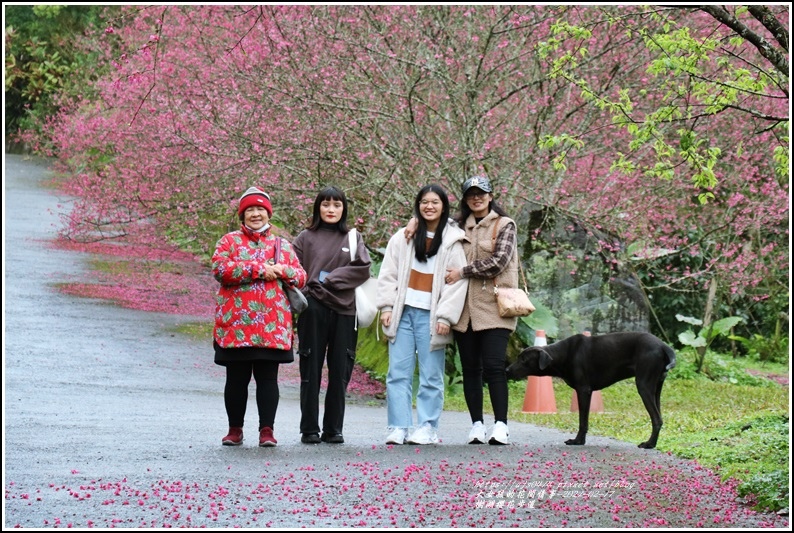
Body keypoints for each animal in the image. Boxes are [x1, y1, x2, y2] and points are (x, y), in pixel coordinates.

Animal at [508, 332, 676, 448]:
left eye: (523, 360)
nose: (506, 370)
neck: (563, 354)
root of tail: (663, 346)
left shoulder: (583, 390)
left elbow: (583, 421)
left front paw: (578, 440)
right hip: (656, 388)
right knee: (658, 417)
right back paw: (653, 443)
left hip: (643, 386)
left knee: (657, 419)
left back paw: (649, 444)